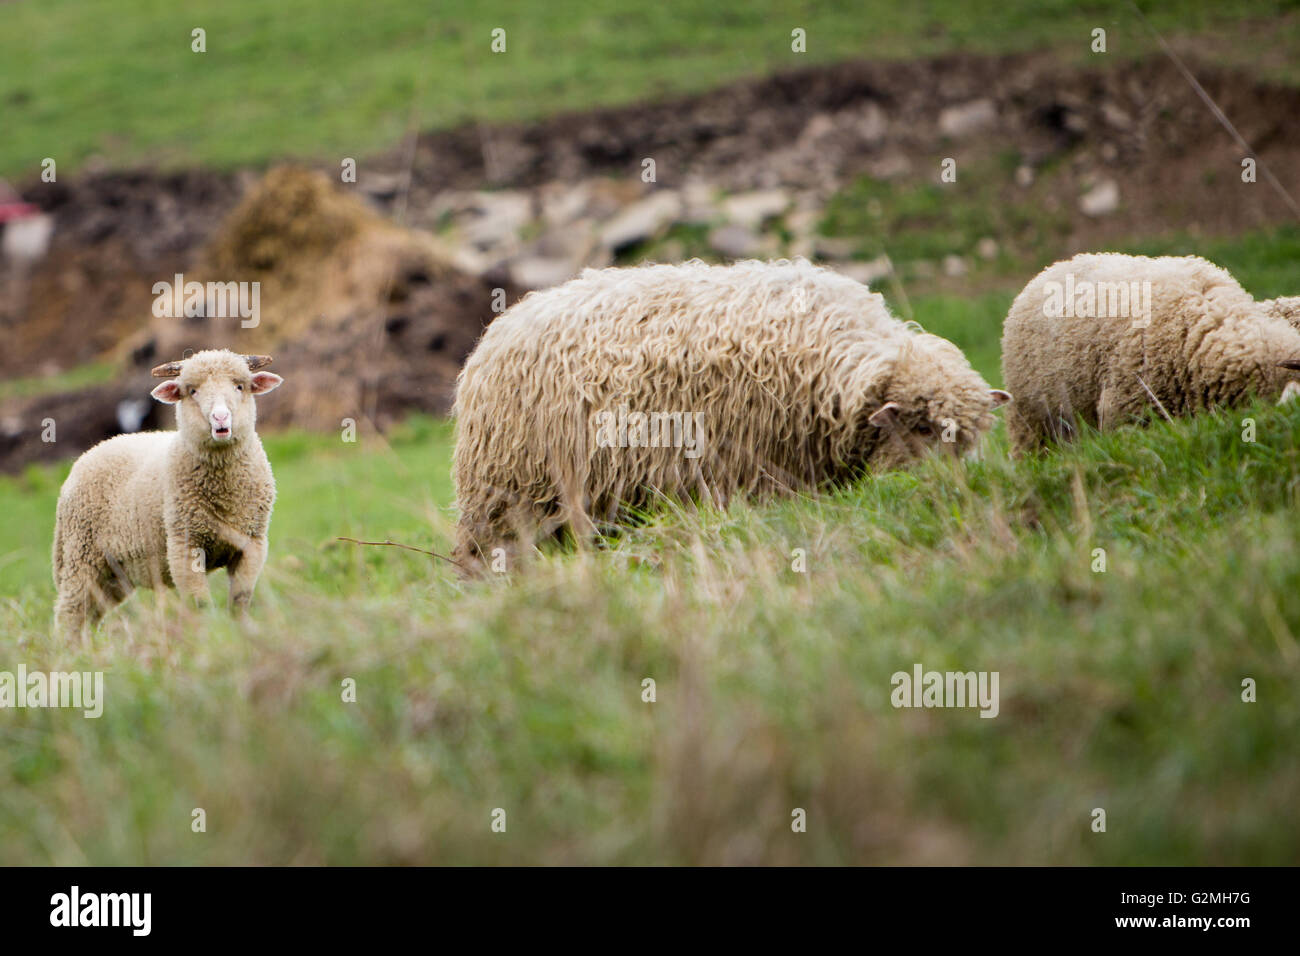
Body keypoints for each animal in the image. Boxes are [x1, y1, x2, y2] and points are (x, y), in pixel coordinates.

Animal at [52, 350, 283, 634]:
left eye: (240, 386)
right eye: (192, 391)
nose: (220, 418)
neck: (224, 492)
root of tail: (86, 455)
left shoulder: (253, 544)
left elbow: (240, 602)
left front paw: (241, 632)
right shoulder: (184, 545)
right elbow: (200, 605)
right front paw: (208, 636)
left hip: (114, 575)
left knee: (90, 616)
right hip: (81, 556)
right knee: (69, 616)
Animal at [452, 258, 1010, 572]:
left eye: (968, 439)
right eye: (922, 427)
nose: (952, 495)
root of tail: (503, 325)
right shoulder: (753, 466)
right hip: (509, 490)